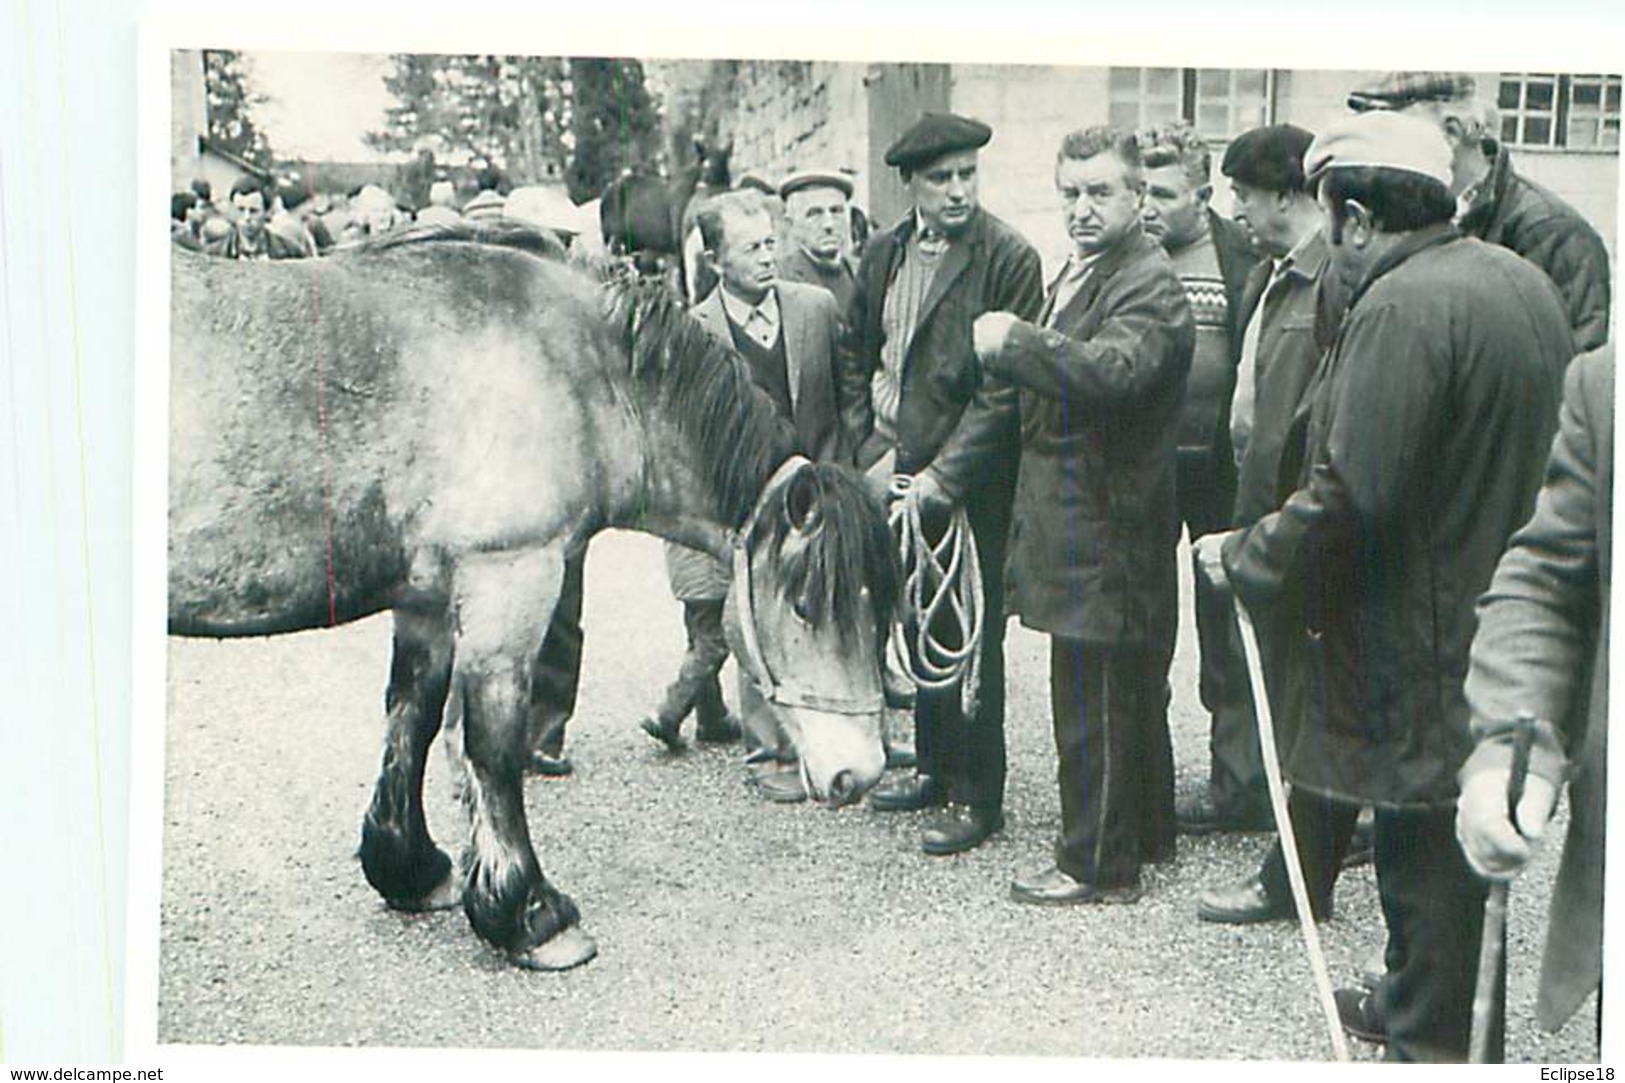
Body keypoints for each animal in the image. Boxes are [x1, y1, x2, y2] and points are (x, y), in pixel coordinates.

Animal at [168, 229, 903, 969]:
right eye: (806, 604)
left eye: (880, 615)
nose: (860, 771)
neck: (579, 368)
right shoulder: (509, 580)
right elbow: (493, 748)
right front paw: (527, 912)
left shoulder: (429, 600)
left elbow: (412, 719)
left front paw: (410, 867)